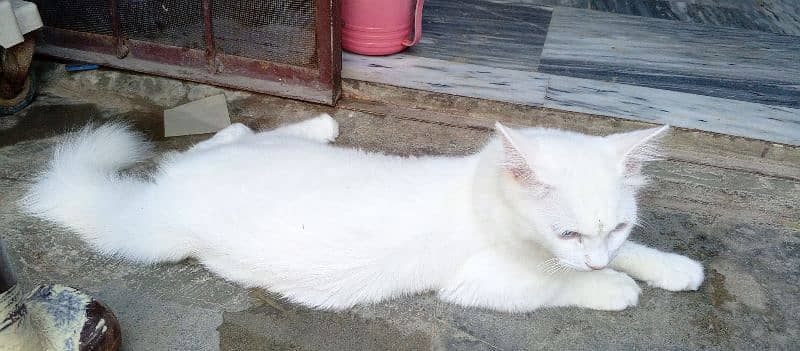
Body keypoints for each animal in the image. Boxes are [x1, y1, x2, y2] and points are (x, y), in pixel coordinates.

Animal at [21, 116, 704, 314]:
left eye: (617, 224)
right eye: (567, 231)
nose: (595, 256)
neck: (478, 191)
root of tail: (159, 189)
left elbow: (633, 254)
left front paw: (670, 267)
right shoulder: (480, 279)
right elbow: (553, 282)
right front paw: (608, 285)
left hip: (251, 151)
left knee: (223, 135)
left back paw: (319, 124)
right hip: (153, 237)